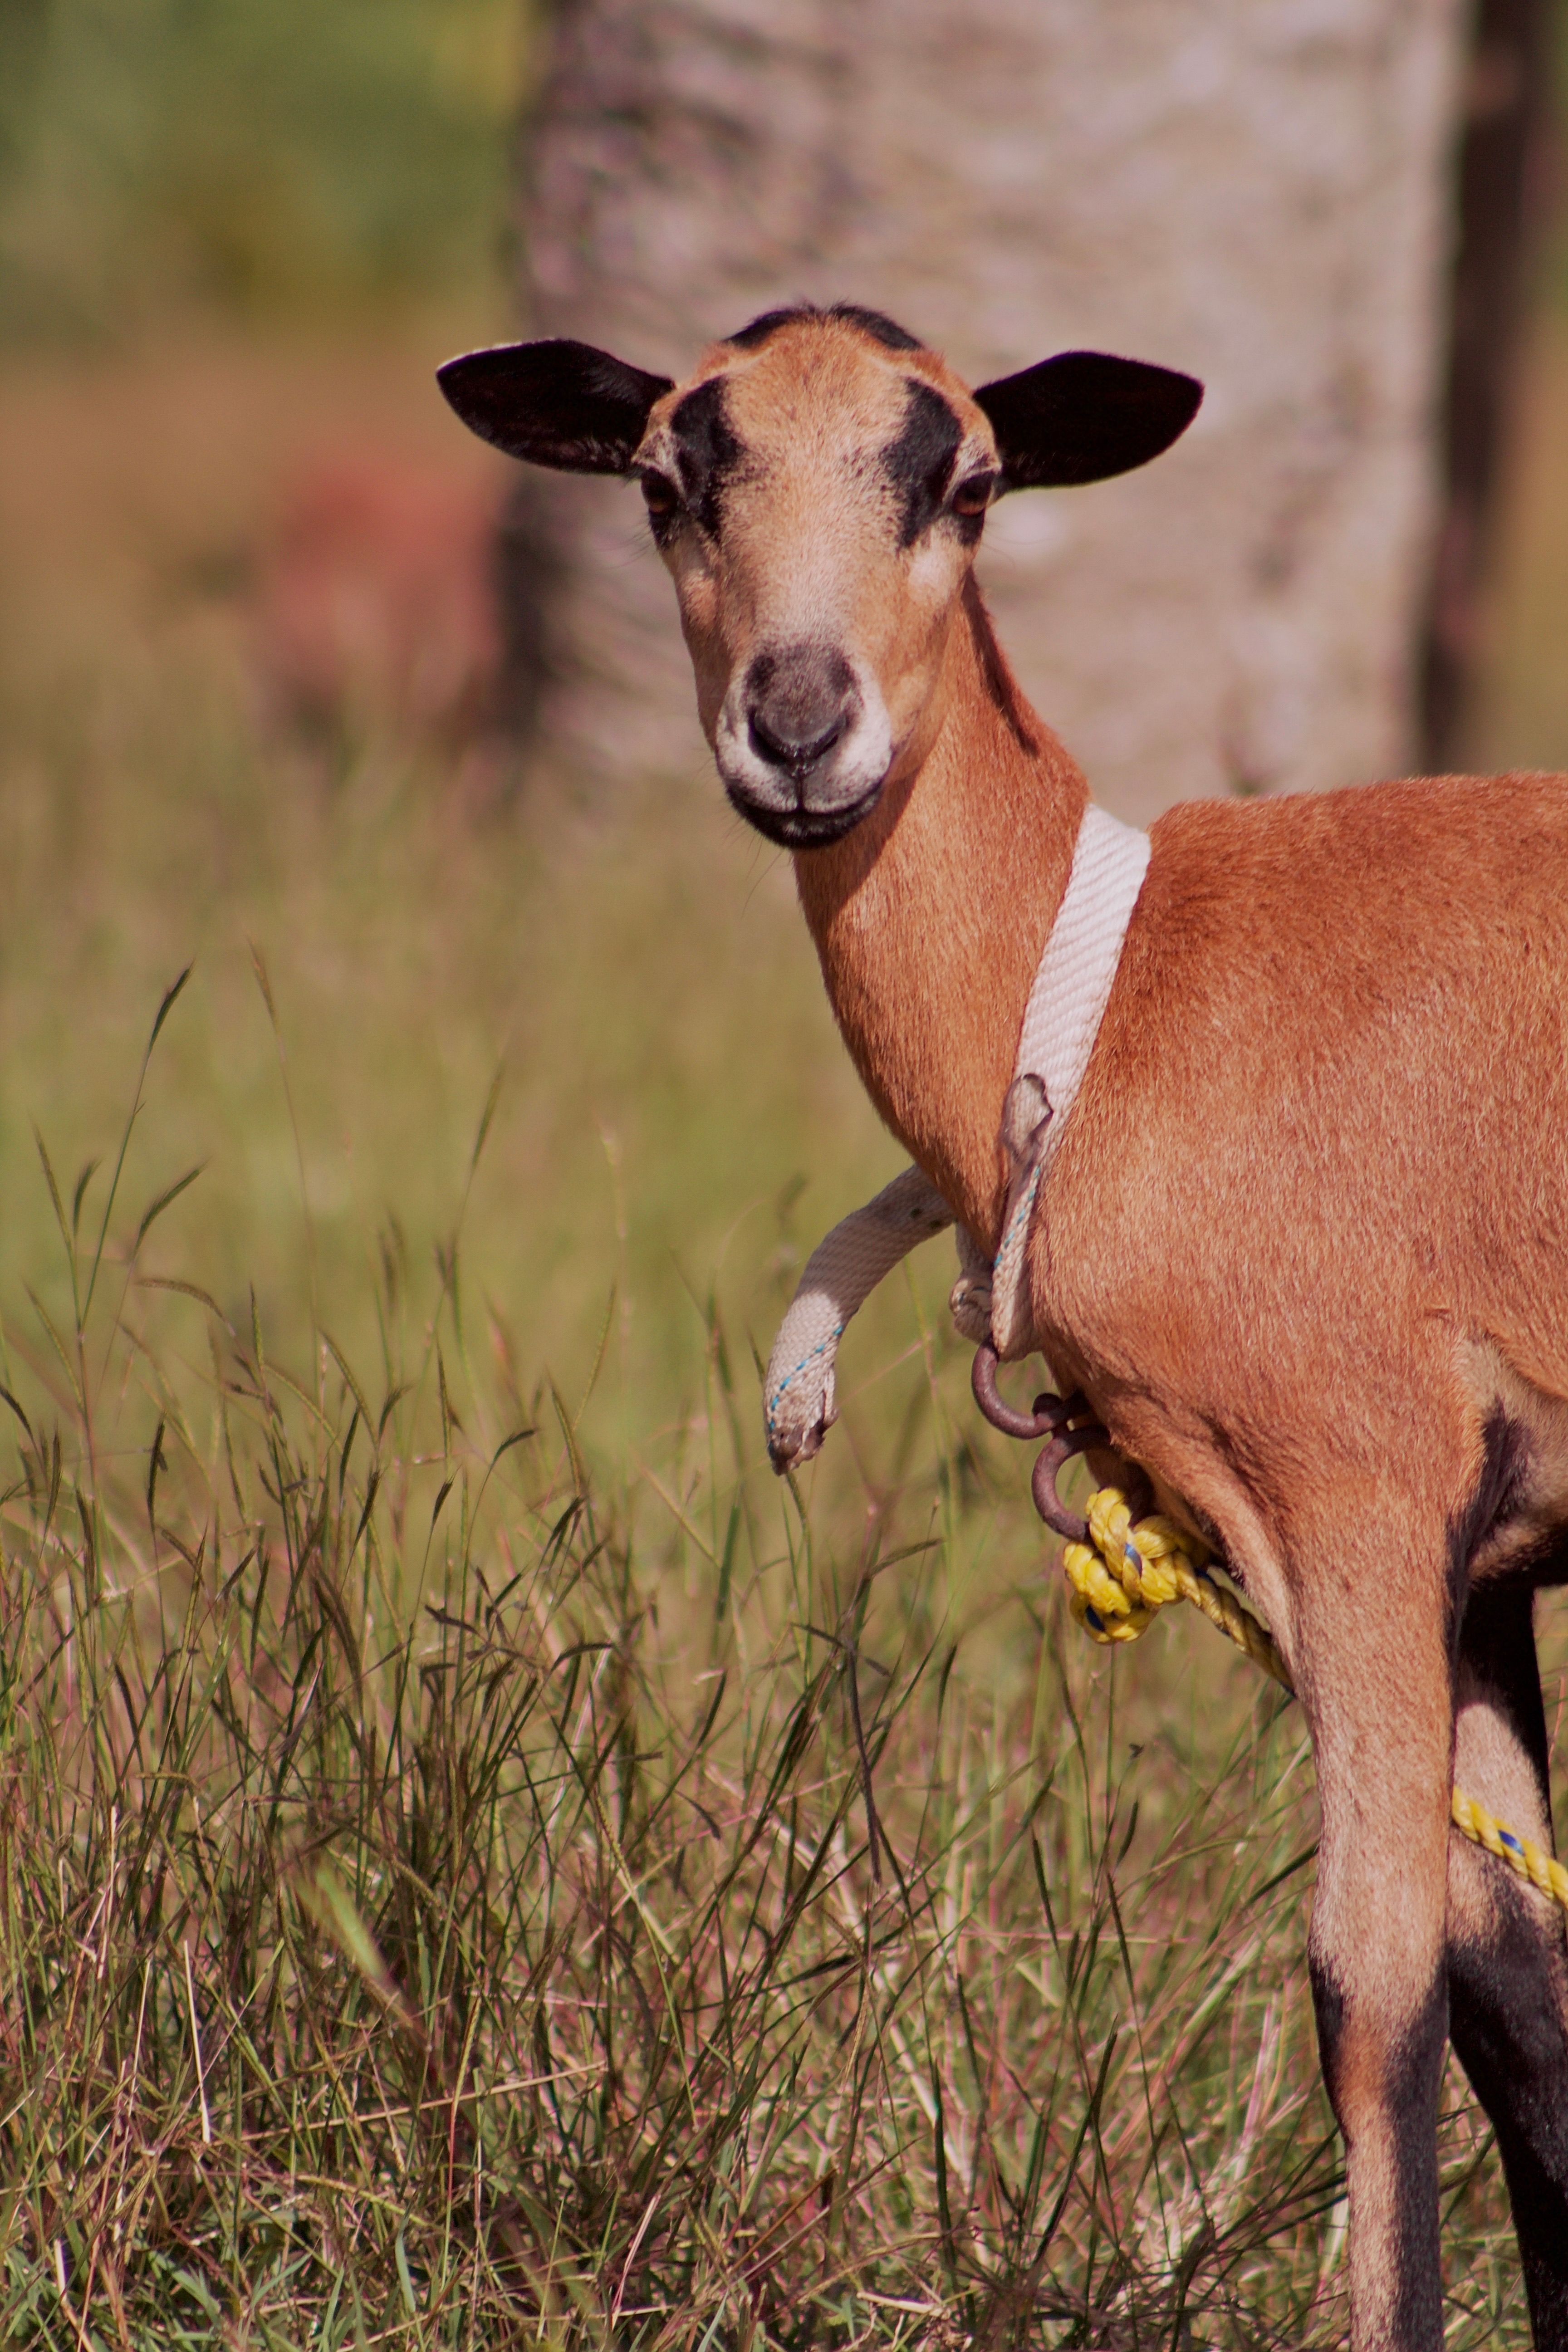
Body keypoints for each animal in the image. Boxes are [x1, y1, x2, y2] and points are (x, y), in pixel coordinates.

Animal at [439, 302, 1568, 2351]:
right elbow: (1521, 1990)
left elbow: (1374, 1982)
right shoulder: (1472, 1566)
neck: (1117, 985)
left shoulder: (1356, 1492)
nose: (801, 723)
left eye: (962, 481)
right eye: (662, 477)